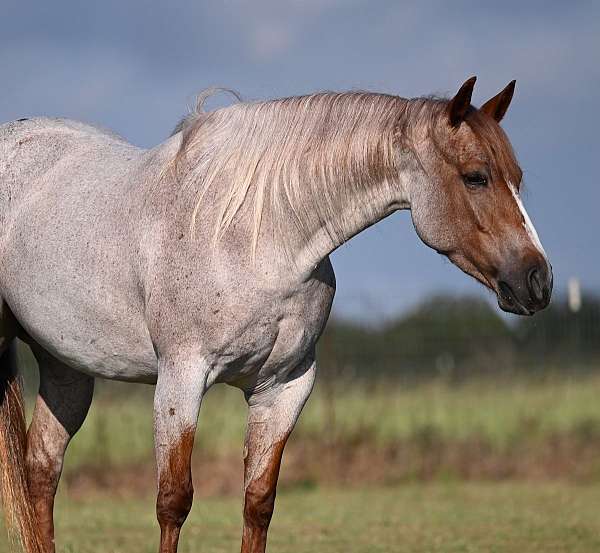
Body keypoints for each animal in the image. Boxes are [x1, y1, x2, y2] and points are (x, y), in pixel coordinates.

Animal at [0, 77, 552, 552]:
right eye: (476, 177)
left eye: (518, 178)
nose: (538, 281)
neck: (258, 237)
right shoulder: (180, 380)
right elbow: (173, 502)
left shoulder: (284, 387)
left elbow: (258, 503)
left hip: (66, 366)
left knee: (41, 471)